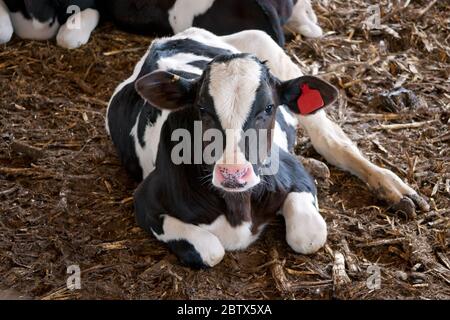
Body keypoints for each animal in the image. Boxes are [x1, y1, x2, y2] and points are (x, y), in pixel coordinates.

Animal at [106, 27, 428, 268]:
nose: (233, 174)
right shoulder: (146, 202)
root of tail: (165, 40)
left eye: (269, 107)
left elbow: (309, 236)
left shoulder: (295, 178)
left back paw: (395, 189)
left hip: (267, 44)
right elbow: (211, 251)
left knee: (331, 140)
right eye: (202, 109)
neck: (237, 208)